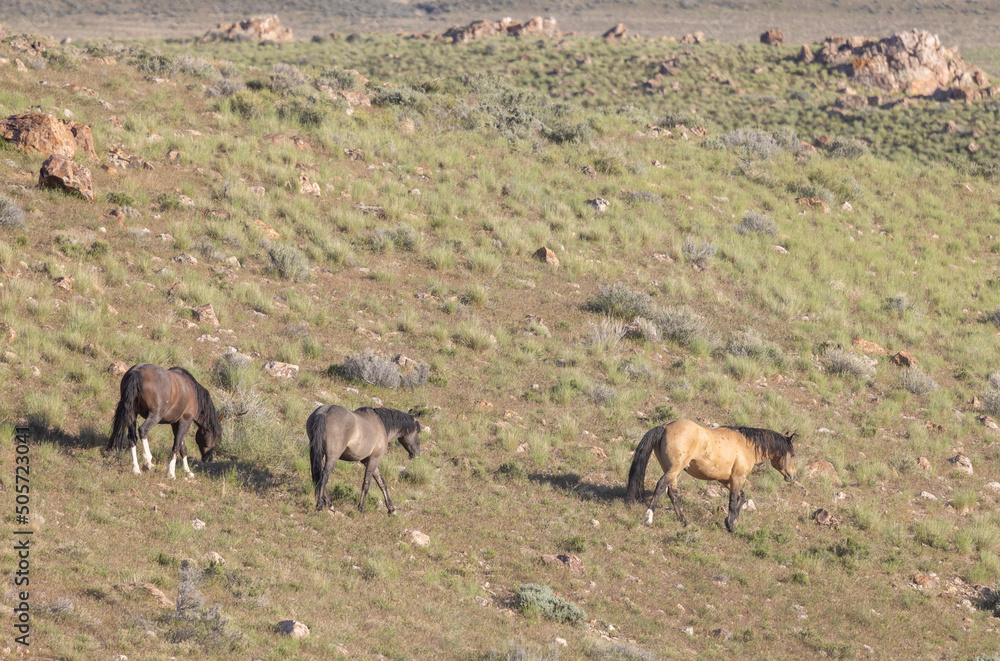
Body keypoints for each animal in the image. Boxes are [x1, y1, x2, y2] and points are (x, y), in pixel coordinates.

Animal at [625, 419, 796, 532]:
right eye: (793, 454)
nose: (792, 476)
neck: (745, 445)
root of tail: (665, 426)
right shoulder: (737, 478)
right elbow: (733, 500)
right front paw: (730, 525)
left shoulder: (725, 479)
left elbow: (741, 497)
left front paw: (730, 519)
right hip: (675, 469)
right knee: (661, 486)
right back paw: (649, 517)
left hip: (672, 470)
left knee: (672, 492)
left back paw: (684, 521)